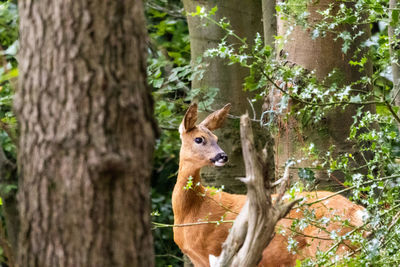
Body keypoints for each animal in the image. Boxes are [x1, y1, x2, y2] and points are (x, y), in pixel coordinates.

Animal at [172, 103, 366, 267]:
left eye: (216, 138)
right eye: (199, 139)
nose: (223, 156)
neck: (191, 211)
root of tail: (359, 213)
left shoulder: (214, 251)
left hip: (333, 246)